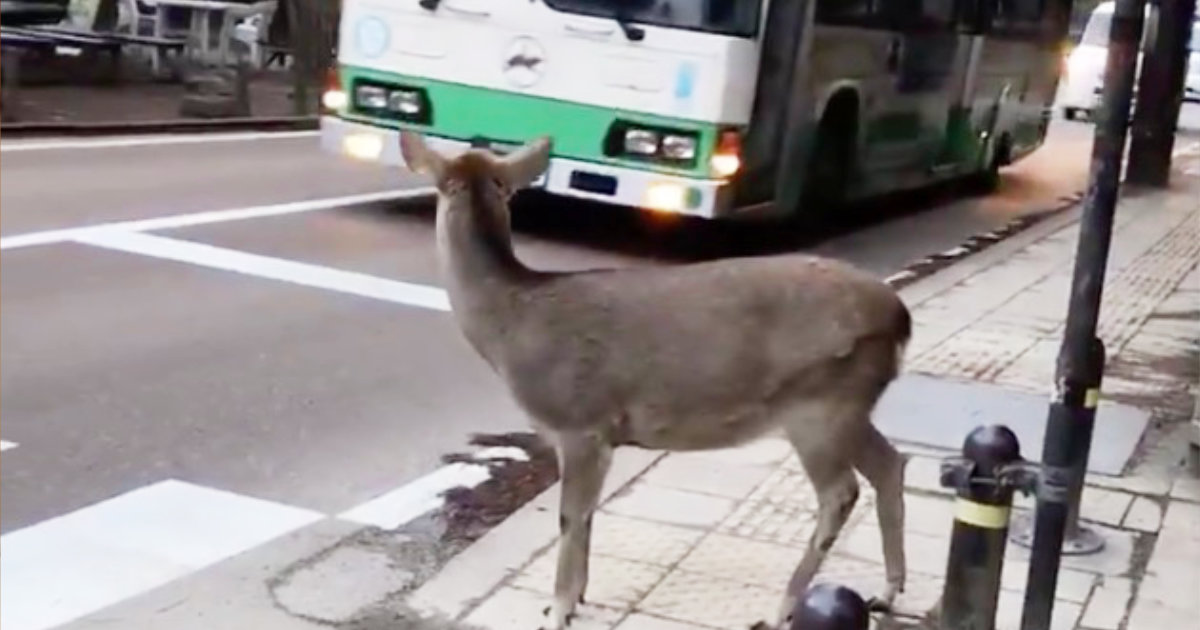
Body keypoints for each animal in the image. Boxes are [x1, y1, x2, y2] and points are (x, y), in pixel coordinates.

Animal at [398, 131, 912, 628]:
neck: (509, 327)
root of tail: (899, 317)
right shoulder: (600, 434)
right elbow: (588, 514)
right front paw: (575, 598)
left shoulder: (578, 420)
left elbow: (569, 516)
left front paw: (558, 608)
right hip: (849, 402)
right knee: (891, 463)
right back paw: (887, 592)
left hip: (818, 403)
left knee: (840, 492)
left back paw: (785, 605)